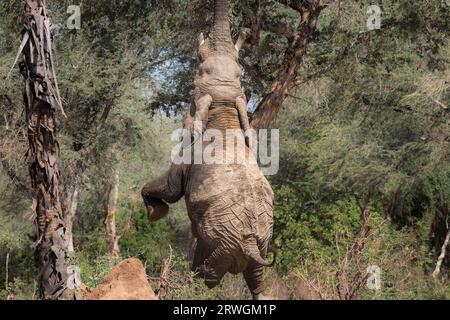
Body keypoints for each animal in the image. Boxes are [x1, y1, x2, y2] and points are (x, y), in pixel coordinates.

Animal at [142, 0, 274, 300]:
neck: (224, 105)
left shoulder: (187, 157)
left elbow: (171, 188)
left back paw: (189, 282)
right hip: (260, 241)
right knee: (256, 278)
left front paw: (156, 214)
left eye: (198, 68)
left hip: (222, 241)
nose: (245, 30)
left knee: (209, 275)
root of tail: (251, 244)